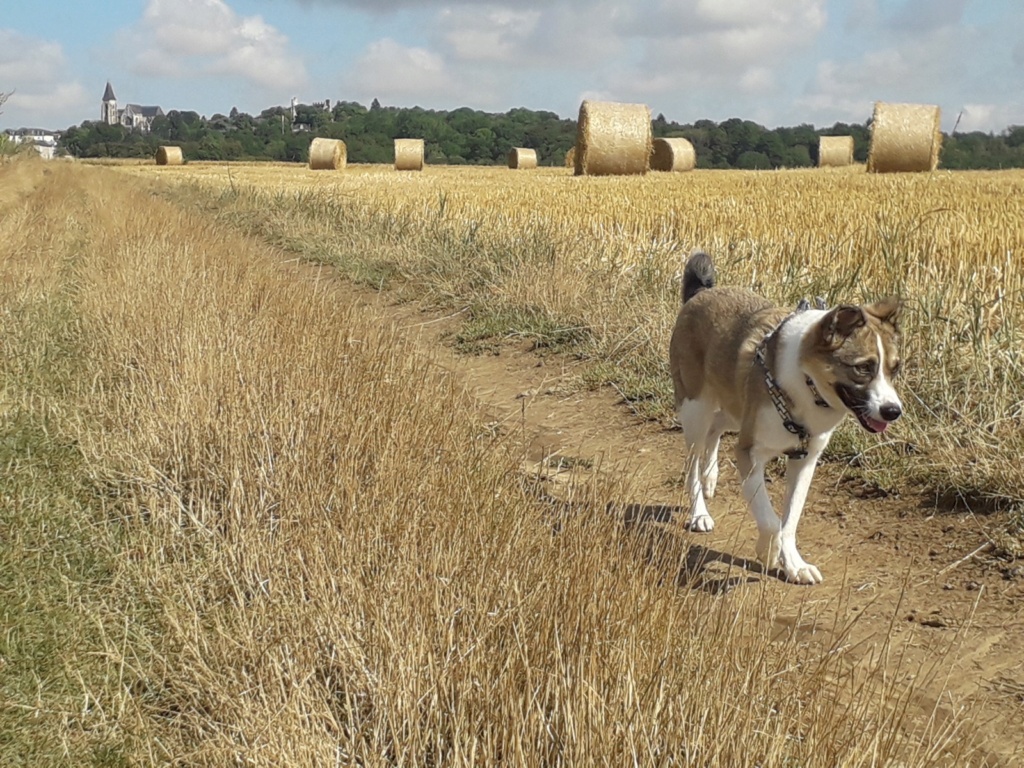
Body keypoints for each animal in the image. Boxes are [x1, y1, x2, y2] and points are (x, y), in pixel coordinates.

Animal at [671, 250, 905, 581]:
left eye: (894, 368)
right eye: (863, 368)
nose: (893, 411)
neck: (807, 383)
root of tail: (700, 294)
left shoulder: (805, 460)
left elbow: (790, 520)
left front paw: (794, 564)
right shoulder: (749, 453)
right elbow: (771, 521)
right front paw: (768, 552)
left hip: (734, 406)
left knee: (716, 428)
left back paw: (710, 477)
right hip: (696, 408)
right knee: (693, 459)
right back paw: (699, 512)